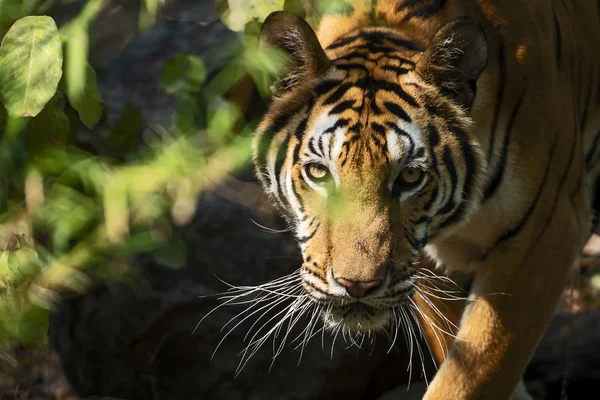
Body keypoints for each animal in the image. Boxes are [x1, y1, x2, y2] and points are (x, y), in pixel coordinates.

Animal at [250, 0, 600, 400]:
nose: (358, 287)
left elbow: (472, 378)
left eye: (409, 176)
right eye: (319, 172)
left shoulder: (548, 229)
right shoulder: (425, 262)